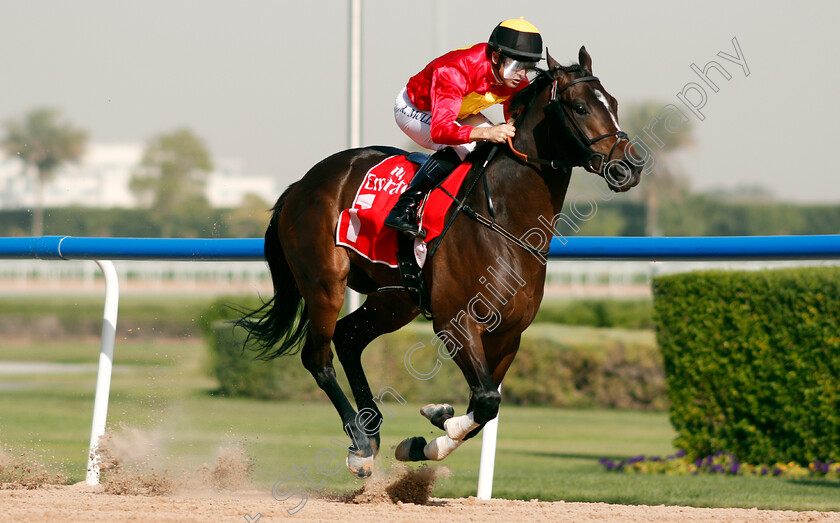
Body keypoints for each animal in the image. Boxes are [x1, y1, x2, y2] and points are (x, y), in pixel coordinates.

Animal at [236, 47, 644, 482]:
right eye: (581, 107)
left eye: (614, 104)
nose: (631, 166)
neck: (504, 222)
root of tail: (300, 185)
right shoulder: (456, 322)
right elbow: (485, 401)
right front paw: (437, 422)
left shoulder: (508, 335)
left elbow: (484, 406)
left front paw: (429, 429)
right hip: (324, 282)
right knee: (319, 358)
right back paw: (360, 445)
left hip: (396, 300)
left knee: (348, 339)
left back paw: (372, 430)